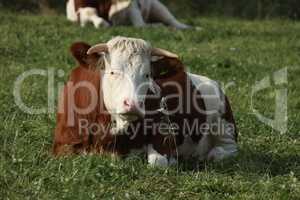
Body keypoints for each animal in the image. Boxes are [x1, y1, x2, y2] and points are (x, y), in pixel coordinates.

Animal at [53, 36, 237, 166]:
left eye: (147, 75)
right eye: (113, 72)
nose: (133, 105)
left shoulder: (165, 136)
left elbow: (158, 161)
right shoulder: (62, 145)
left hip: (223, 123)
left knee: (226, 149)